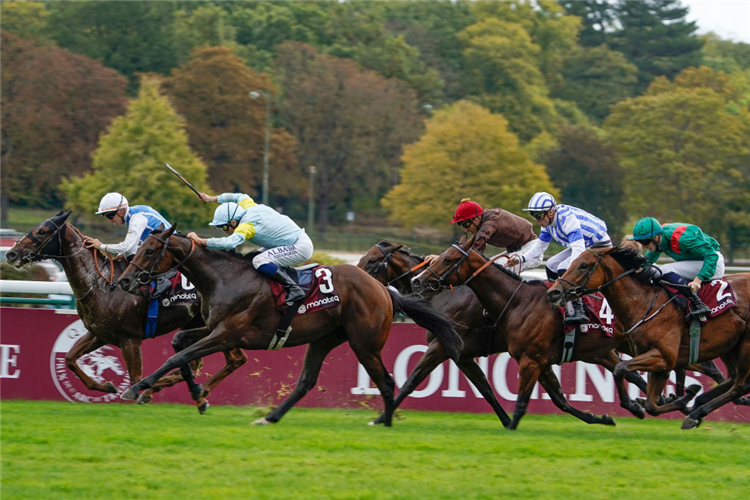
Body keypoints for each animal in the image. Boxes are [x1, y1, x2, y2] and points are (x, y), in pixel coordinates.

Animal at [4, 209, 213, 404]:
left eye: (42, 231)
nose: (11, 253)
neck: (102, 283)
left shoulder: (130, 339)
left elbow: (135, 378)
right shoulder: (99, 333)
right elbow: (69, 359)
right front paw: (106, 386)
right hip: (193, 324)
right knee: (192, 365)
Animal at [115, 227, 464, 426]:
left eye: (150, 250)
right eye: (140, 249)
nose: (125, 281)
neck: (225, 277)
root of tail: (383, 290)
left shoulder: (227, 333)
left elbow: (178, 355)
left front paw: (137, 387)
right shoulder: (215, 329)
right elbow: (179, 343)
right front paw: (198, 394)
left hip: (364, 344)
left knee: (388, 382)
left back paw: (385, 422)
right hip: (324, 339)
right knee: (306, 381)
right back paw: (270, 417)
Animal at [408, 237, 648, 430]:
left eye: (448, 259)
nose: (417, 281)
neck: (517, 301)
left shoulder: (529, 359)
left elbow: (521, 404)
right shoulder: (538, 361)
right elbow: (557, 399)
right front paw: (601, 417)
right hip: (604, 350)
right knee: (631, 373)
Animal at [548, 247, 750, 430]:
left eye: (583, 266)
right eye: (571, 263)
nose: (554, 292)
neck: (644, 303)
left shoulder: (663, 356)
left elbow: (621, 369)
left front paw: (639, 404)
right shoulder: (659, 363)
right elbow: (652, 405)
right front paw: (676, 399)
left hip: (743, 345)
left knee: (739, 384)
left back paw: (697, 412)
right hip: (729, 345)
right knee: (731, 379)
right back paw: (698, 403)